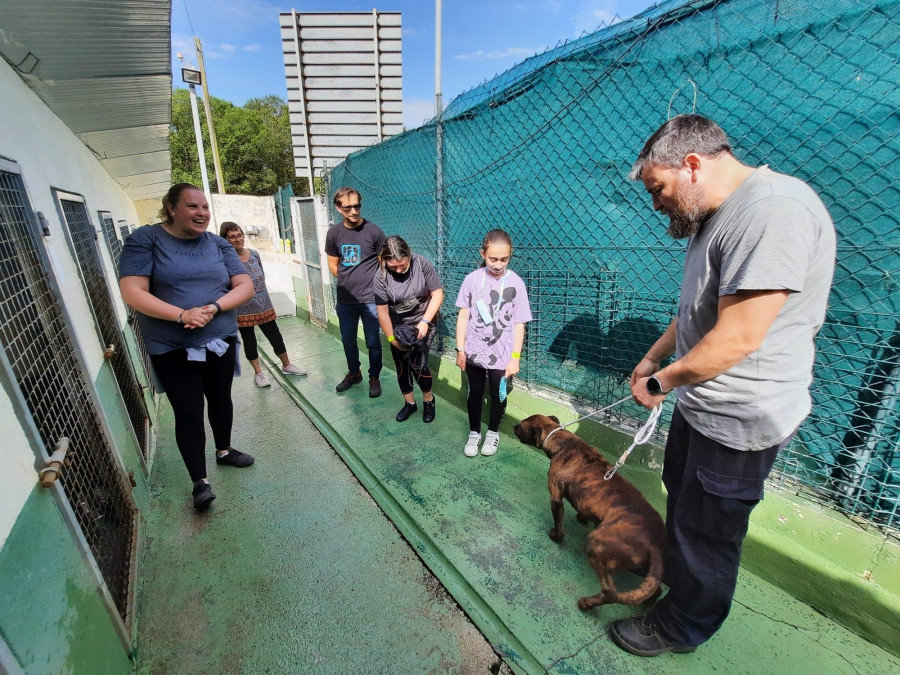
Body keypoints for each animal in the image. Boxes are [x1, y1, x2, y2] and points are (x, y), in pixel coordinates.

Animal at [512, 414, 668, 608]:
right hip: (641, 566)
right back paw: (648, 602)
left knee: (609, 592)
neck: (562, 440)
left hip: (597, 546)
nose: (513, 426)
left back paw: (587, 603)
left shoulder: (556, 497)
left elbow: (559, 526)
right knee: (656, 588)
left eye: (521, 426)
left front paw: (556, 536)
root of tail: (655, 541)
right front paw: (582, 518)